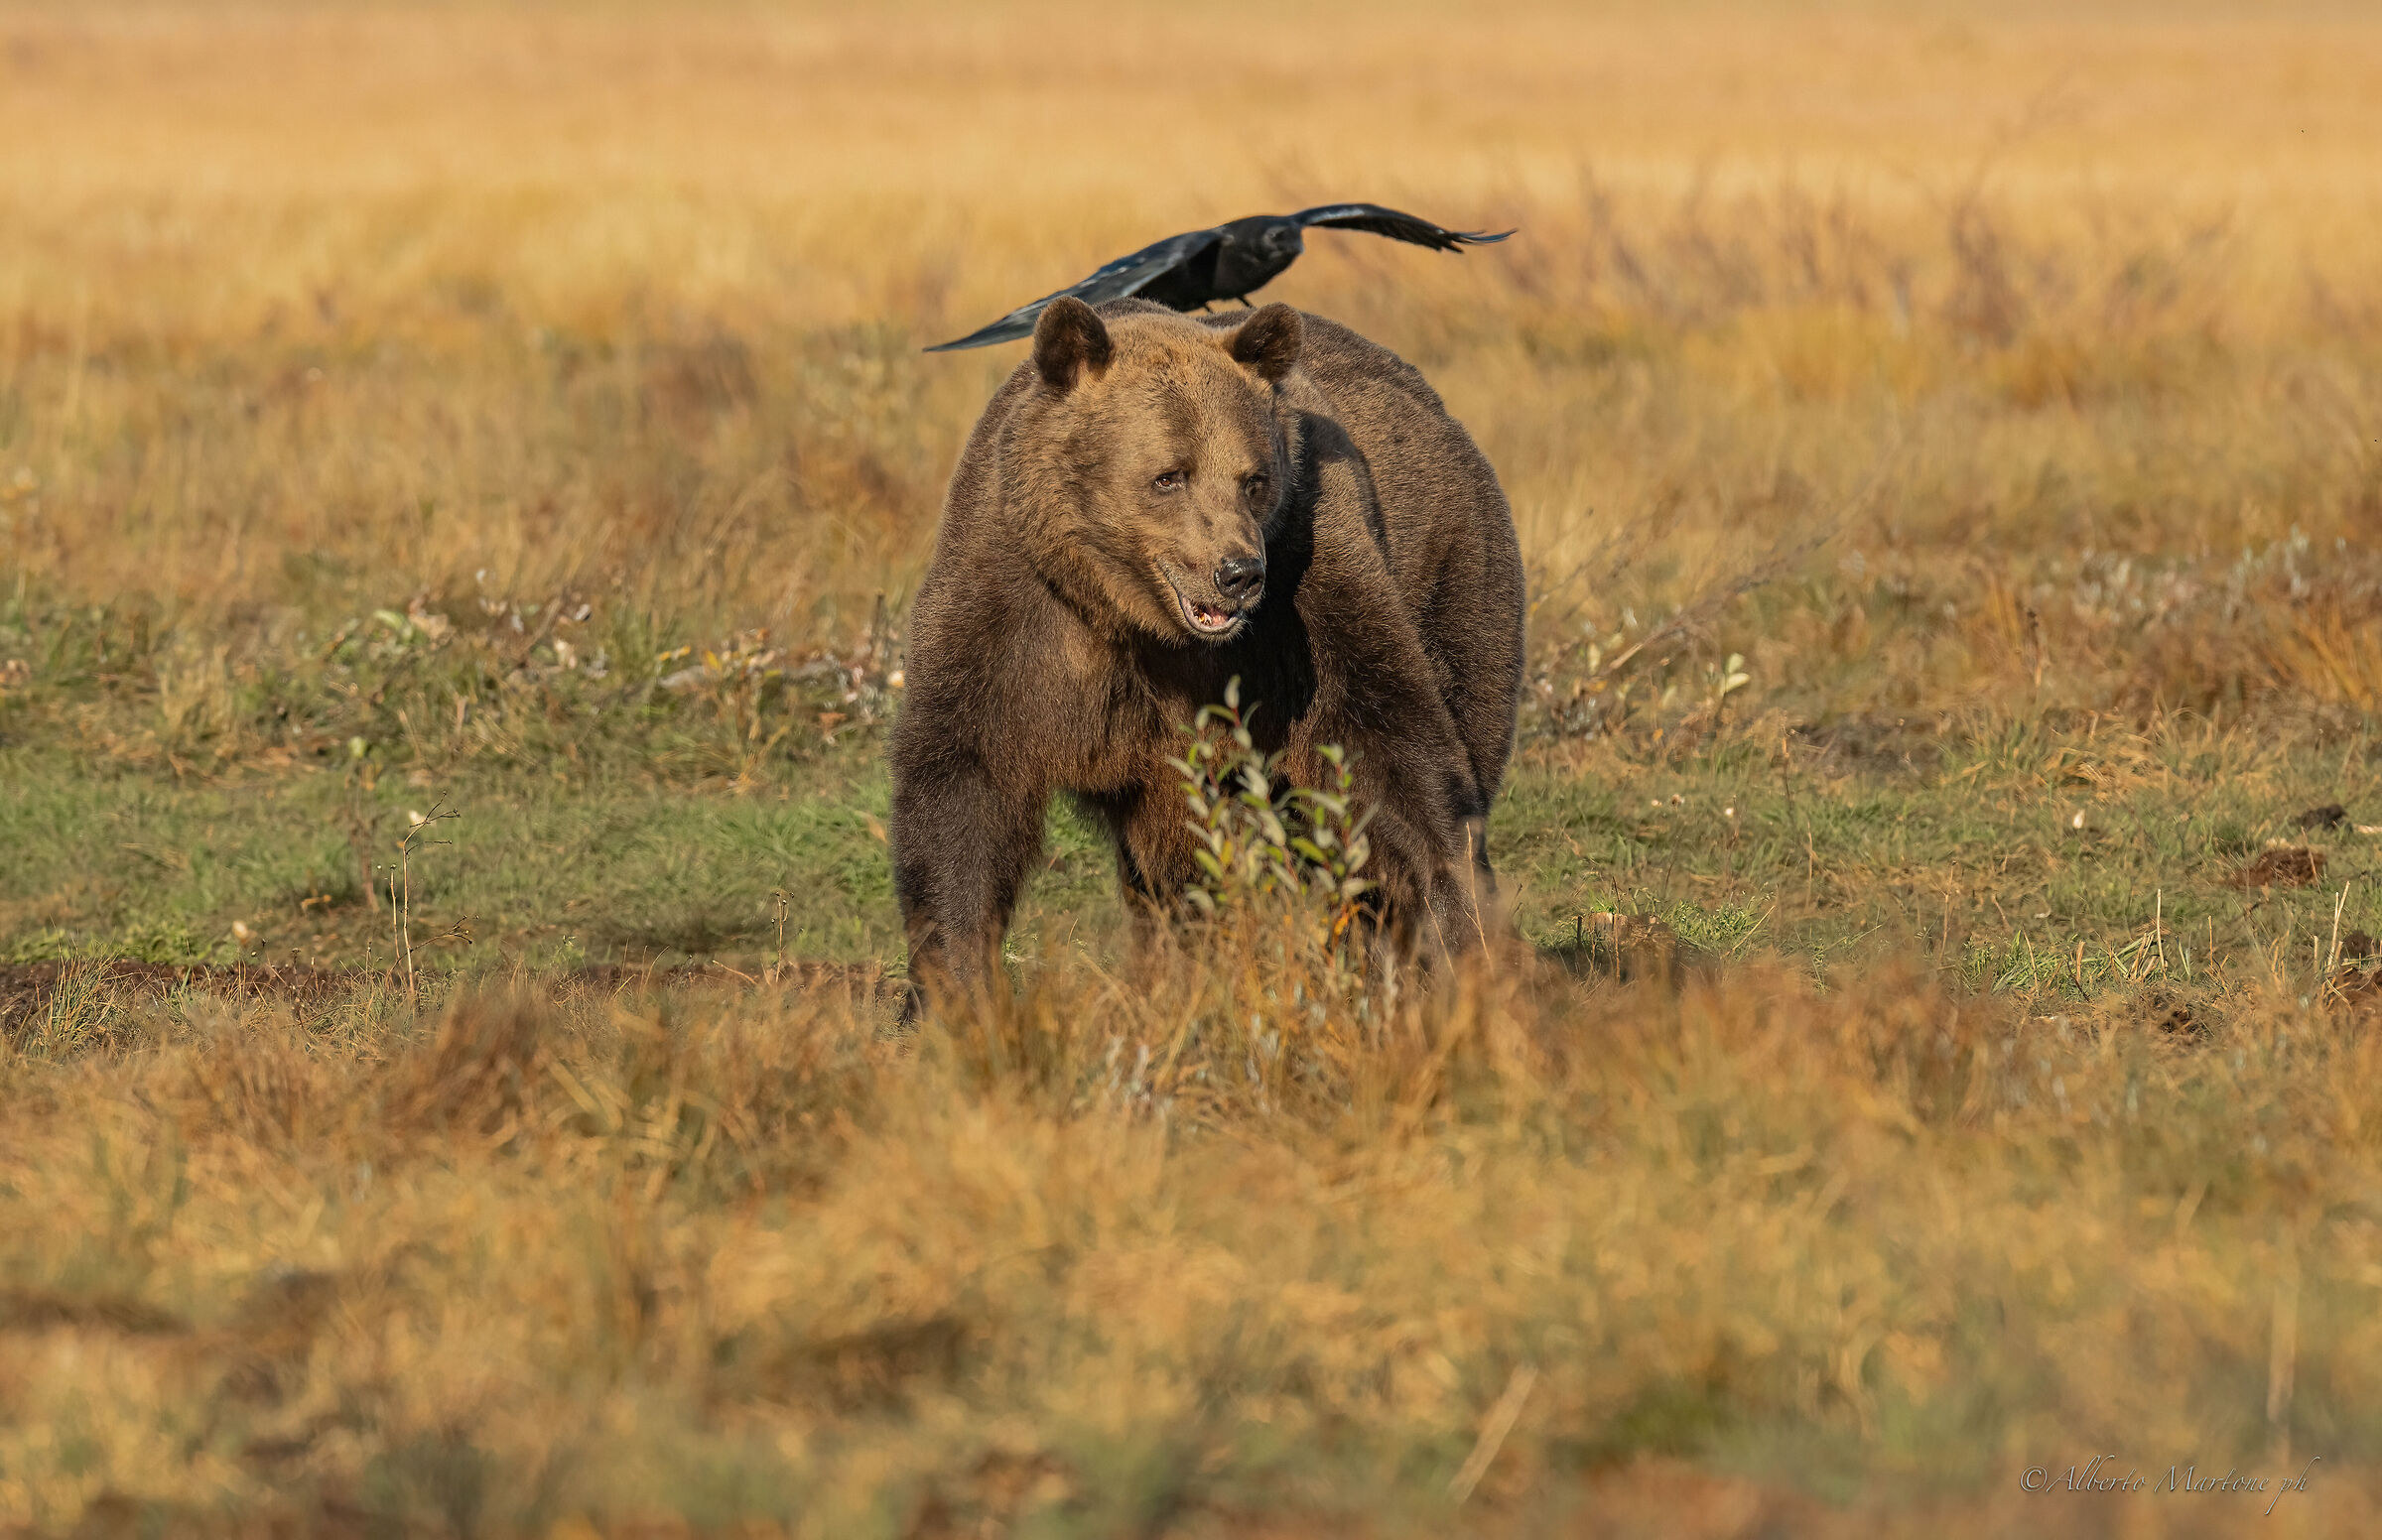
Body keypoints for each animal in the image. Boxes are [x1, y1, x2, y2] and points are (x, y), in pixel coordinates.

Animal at [890, 295, 1524, 999]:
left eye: (1253, 479)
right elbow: (965, 780)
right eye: (1170, 476)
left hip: (1454, 581)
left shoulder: (1305, 579)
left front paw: (1463, 930)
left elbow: (1385, 743)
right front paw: (956, 980)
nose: (1238, 571)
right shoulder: (1013, 602)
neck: (1130, 610)